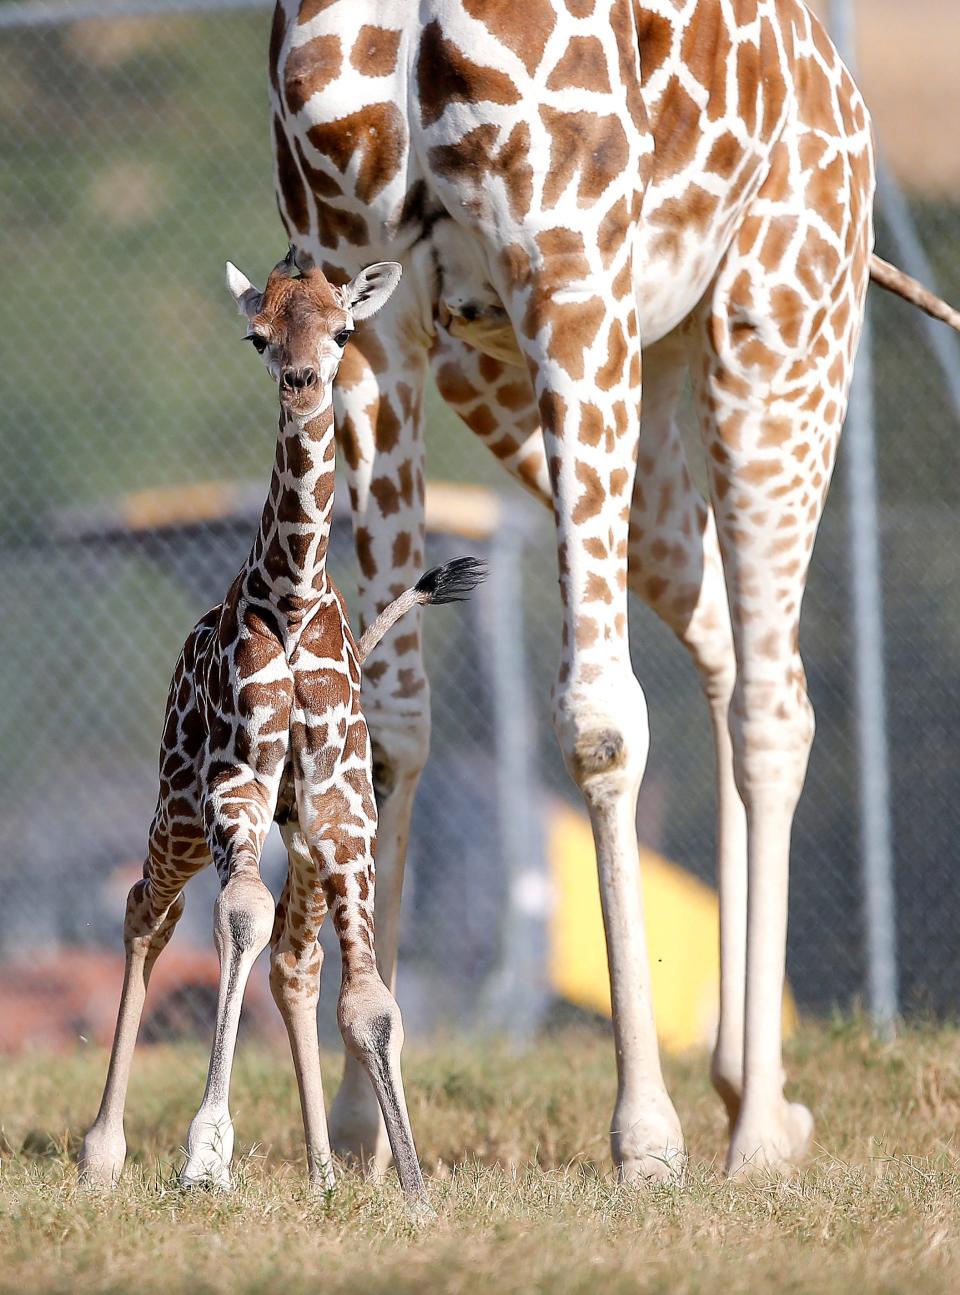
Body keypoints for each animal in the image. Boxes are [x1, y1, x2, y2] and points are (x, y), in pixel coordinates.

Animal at [79, 249, 481, 1201]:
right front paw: (205, 1150)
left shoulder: (340, 810)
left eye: (342, 329)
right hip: (179, 806)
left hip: (294, 835)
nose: (302, 382)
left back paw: (324, 1174)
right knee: (147, 912)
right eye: (259, 335)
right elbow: (238, 916)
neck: (295, 599)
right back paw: (102, 1151)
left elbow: (368, 999)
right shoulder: (239, 781)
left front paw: (413, 1193)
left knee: (294, 968)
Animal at [265, 0, 932, 1181]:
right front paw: (356, 1124)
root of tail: (842, 102)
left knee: (775, 698)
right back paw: (745, 1085)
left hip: (779, 326)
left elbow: (601, 720)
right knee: (727, 644)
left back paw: (755, 1126)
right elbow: (383, 722)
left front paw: (645, 1135)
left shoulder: (566, 271)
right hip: (588, 376)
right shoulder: (367, 309)